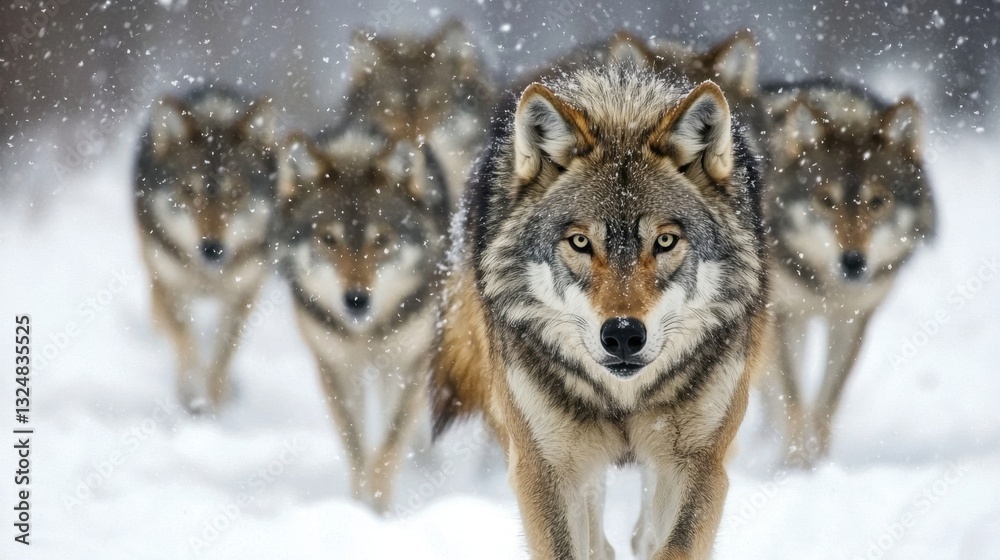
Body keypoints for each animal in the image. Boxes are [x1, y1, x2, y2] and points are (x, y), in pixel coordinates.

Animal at [134, 85, 279, 413]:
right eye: (189, 192)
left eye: (236, 193)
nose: (212, 248)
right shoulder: (171, 286)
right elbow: (186, 345)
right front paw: (192, 396)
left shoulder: (243, 294)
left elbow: (222, 357)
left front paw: (215, 403)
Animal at [276, 123, 450, 513]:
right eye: (328, 239)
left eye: (381, 240)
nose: (356, 300)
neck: (366, 332)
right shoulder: (336, 369)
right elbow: (357, 450)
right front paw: (356, 508)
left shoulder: (412, 362)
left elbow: (386, 450)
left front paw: (378, 514)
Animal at [430, 64, 769, 559]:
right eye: (580, 242)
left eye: (664, 240)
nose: (624, 334)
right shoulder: (544, 467)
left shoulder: (699, 463)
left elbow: (672, 544)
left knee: (641, 529)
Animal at [758, 81, 936, 467]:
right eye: (826, 200)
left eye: (877, 202)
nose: (853, 262)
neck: (827, 286)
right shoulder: (783, 316)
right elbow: (793, 399)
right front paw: (795, 467)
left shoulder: (851, 320)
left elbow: (826, 404)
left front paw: (820, 464)